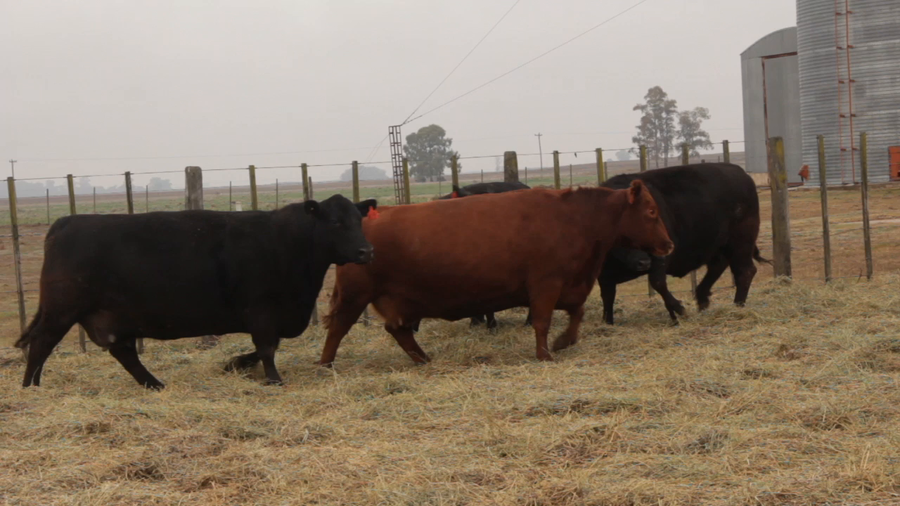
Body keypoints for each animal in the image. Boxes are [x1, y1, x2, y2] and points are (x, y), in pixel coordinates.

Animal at [15, 195, 378, 390]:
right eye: (335, 222)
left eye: (358, 220)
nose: (366, 251)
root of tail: (64, 222)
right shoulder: (261, 310)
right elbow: (267, 348)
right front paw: (273, 379)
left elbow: (263, 348)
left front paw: (234, 364)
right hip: (61, 309)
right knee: (41, 343)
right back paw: (31, 386)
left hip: (111, 316)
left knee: (123, 352)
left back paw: (154, 384)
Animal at [320, 181, 673, 367]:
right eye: (651, 211)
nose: (669, 245)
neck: (574, 219)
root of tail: (368, 219)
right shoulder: (545, 284)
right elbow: (543, 322)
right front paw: (545, 353)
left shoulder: (570, 285)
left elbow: (577, 315)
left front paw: (564, 341)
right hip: (355, 295)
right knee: (338, 328)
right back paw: (326, 363)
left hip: (396, 301)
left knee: (398, 330)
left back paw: (423, 359)